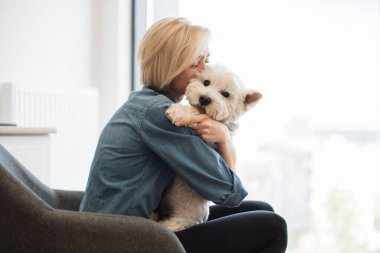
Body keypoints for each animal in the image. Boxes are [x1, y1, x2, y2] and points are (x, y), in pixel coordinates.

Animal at [151, 63, 262, 231]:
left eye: (226, 94)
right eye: (206, 82)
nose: (204, 98)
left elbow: (197, 115)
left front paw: (178, 110)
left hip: (177, 222)